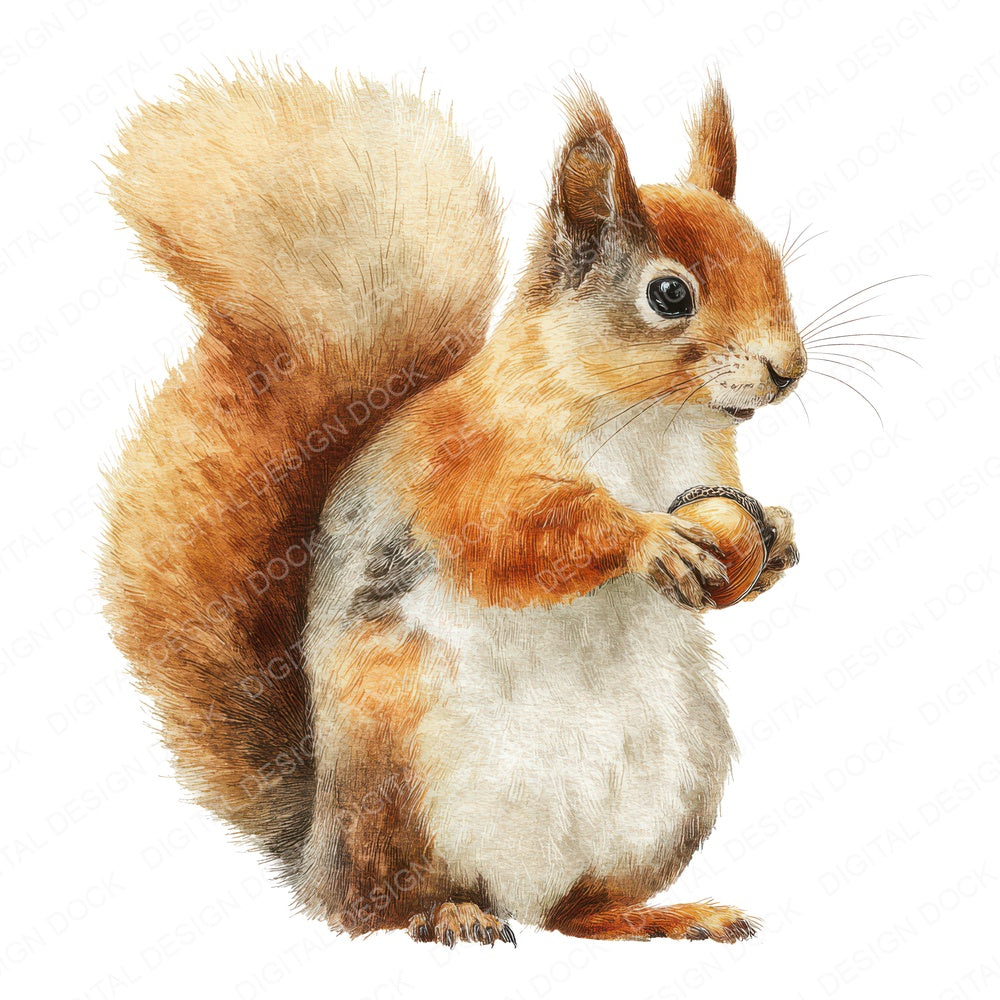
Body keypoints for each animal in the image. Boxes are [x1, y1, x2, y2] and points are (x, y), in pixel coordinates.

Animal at [101, 68, 805, 947]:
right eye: (670, 294)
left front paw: (778, 538)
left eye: (772, 260)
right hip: (402, 775)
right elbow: (515, 536)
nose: (789, 369)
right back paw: (452, 914)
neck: (651, 422)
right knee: (378, 908)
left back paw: (665, 915)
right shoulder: (466, 472)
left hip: (676, 786)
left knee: (578, 912)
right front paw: (647, 538)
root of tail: (316, 851)